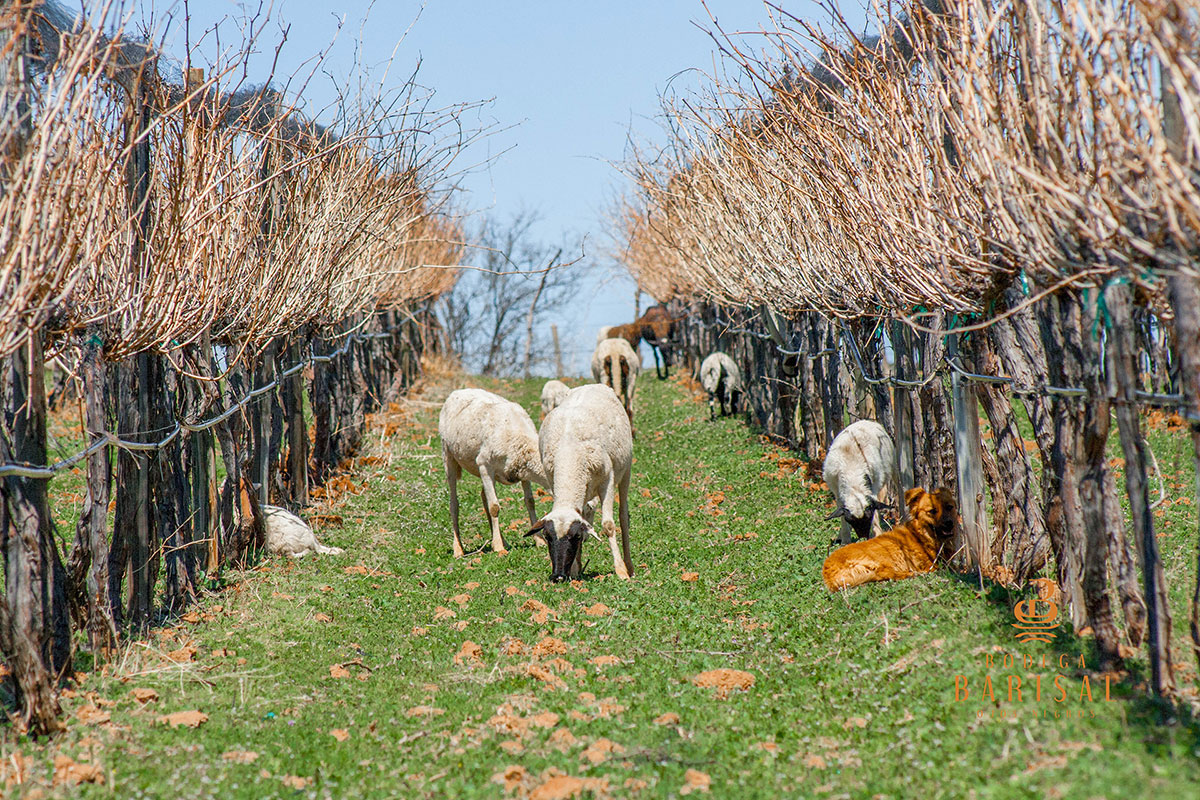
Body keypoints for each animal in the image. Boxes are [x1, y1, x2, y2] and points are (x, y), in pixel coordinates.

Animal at [436, 388, 549, 556]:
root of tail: (457, 391)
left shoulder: (523, 472)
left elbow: (530, 501)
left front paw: (540, 541)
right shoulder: (484, 463)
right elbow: (494, 507)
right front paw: (498, 547)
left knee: (483, 496)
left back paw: (504, 541)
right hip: (448, 454)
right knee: (454, 503)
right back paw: (458, 549)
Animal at [528, 383, 633, 582]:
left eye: (575, 537)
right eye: (547, 536)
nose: (558, 576)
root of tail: (593, 384)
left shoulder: (607, 480)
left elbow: (608, 526)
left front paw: (620, 571)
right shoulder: (553, 479)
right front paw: (575, 569)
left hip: (626, 470)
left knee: (623, 517)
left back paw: (628, 565)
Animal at [820, 484, 960, 592]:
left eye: (949, 507)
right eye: (932, 511)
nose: (949, 523)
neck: (922, 535)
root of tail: (827, 571)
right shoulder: (929, 564)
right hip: (880, 560)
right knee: (887, 574)